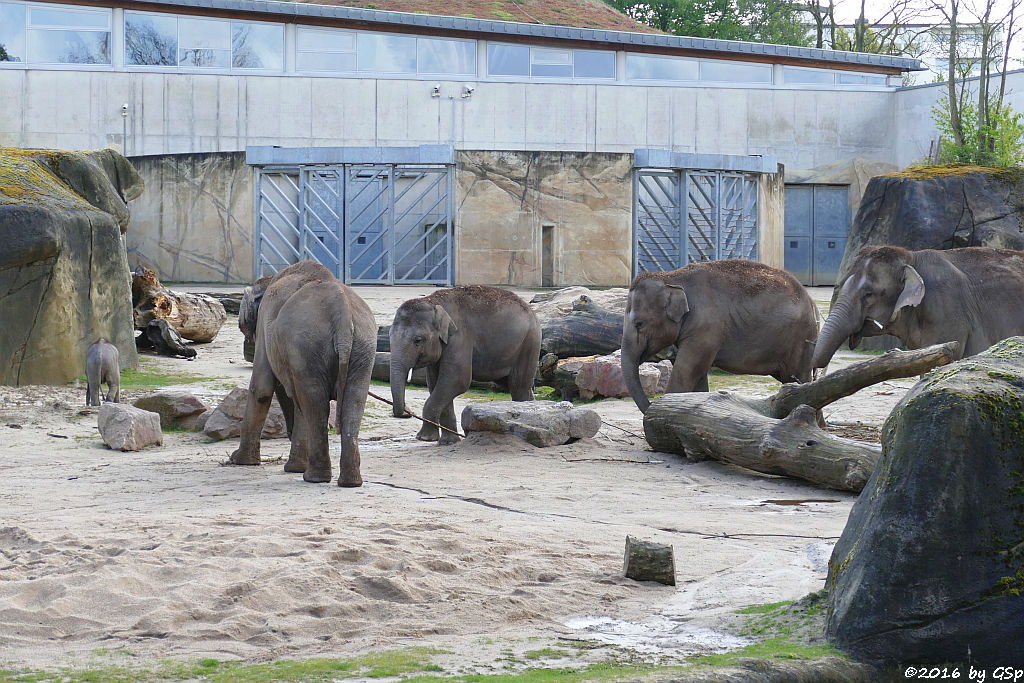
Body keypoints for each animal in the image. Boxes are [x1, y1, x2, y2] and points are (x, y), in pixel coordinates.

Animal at [230, 259, 378, 489]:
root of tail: (342, 312)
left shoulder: (264, 324)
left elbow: (262, 388)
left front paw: (239, 461)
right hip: (363, 346)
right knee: (351, 400)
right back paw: (350, 482)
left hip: (307, 344)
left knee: (312, 400)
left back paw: (314, 477)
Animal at [387, 286, 544, 446]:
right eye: (389, 336)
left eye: (417, 340)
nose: (406, 411)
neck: (433, 301)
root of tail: (531, 311)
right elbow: (435, 383)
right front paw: (448, 442)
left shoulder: (459, 337)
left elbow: (457, 380)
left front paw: (424, 438)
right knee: (516, 385)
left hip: (529, 343)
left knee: (518, 386)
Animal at [618, 260, 819, 411]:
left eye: (639, 324)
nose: (651, 406)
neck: (670, 277)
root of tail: (812, 302)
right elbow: (697, 374)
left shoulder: (707, 327)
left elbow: (686, 371)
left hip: (800, 341)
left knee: (799, 379)